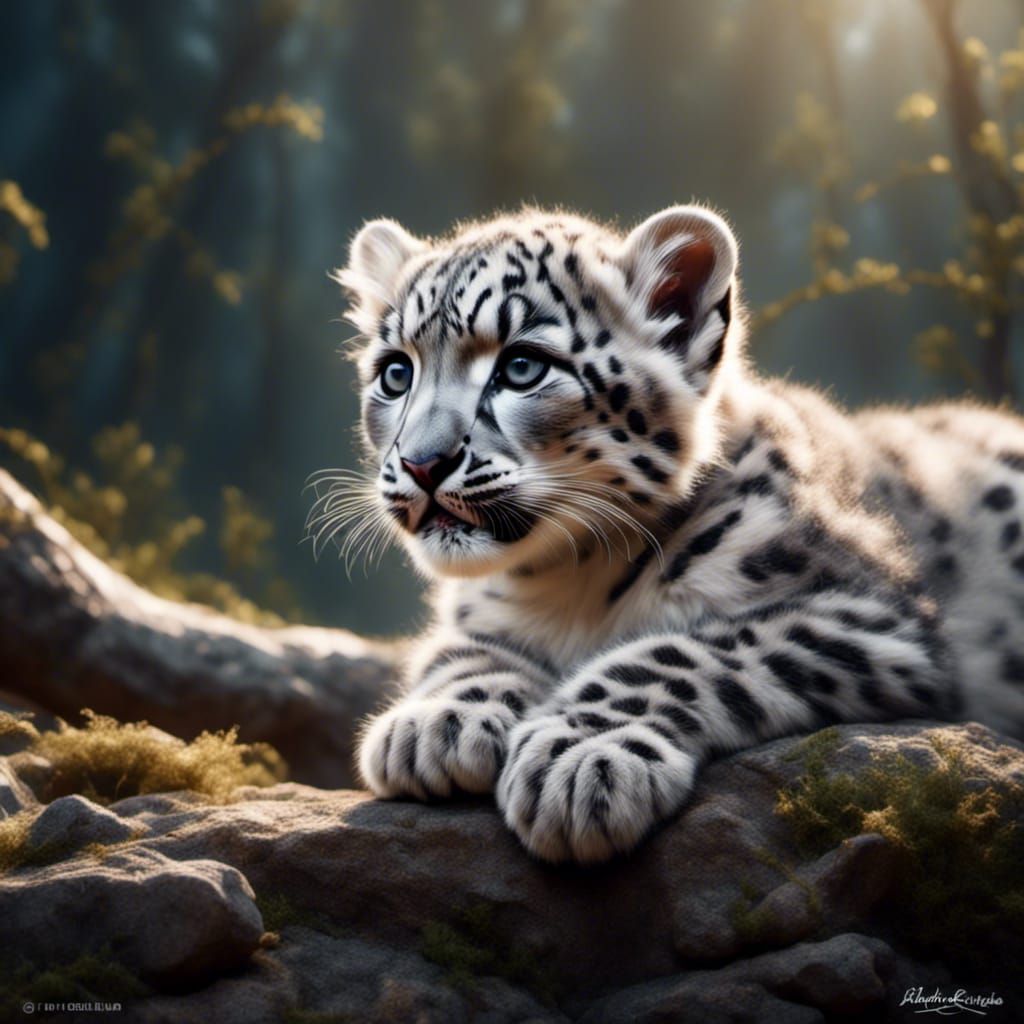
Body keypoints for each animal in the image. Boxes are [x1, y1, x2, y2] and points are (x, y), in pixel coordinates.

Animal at [317, 203, 1024, 864]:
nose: (422, 463)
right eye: (395, 374)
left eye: (521, 367)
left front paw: (581, 757)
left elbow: (685, 652)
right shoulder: (474, 614)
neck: (566, 582)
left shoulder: (870, 614)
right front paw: (435, 724)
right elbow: (459, 650)